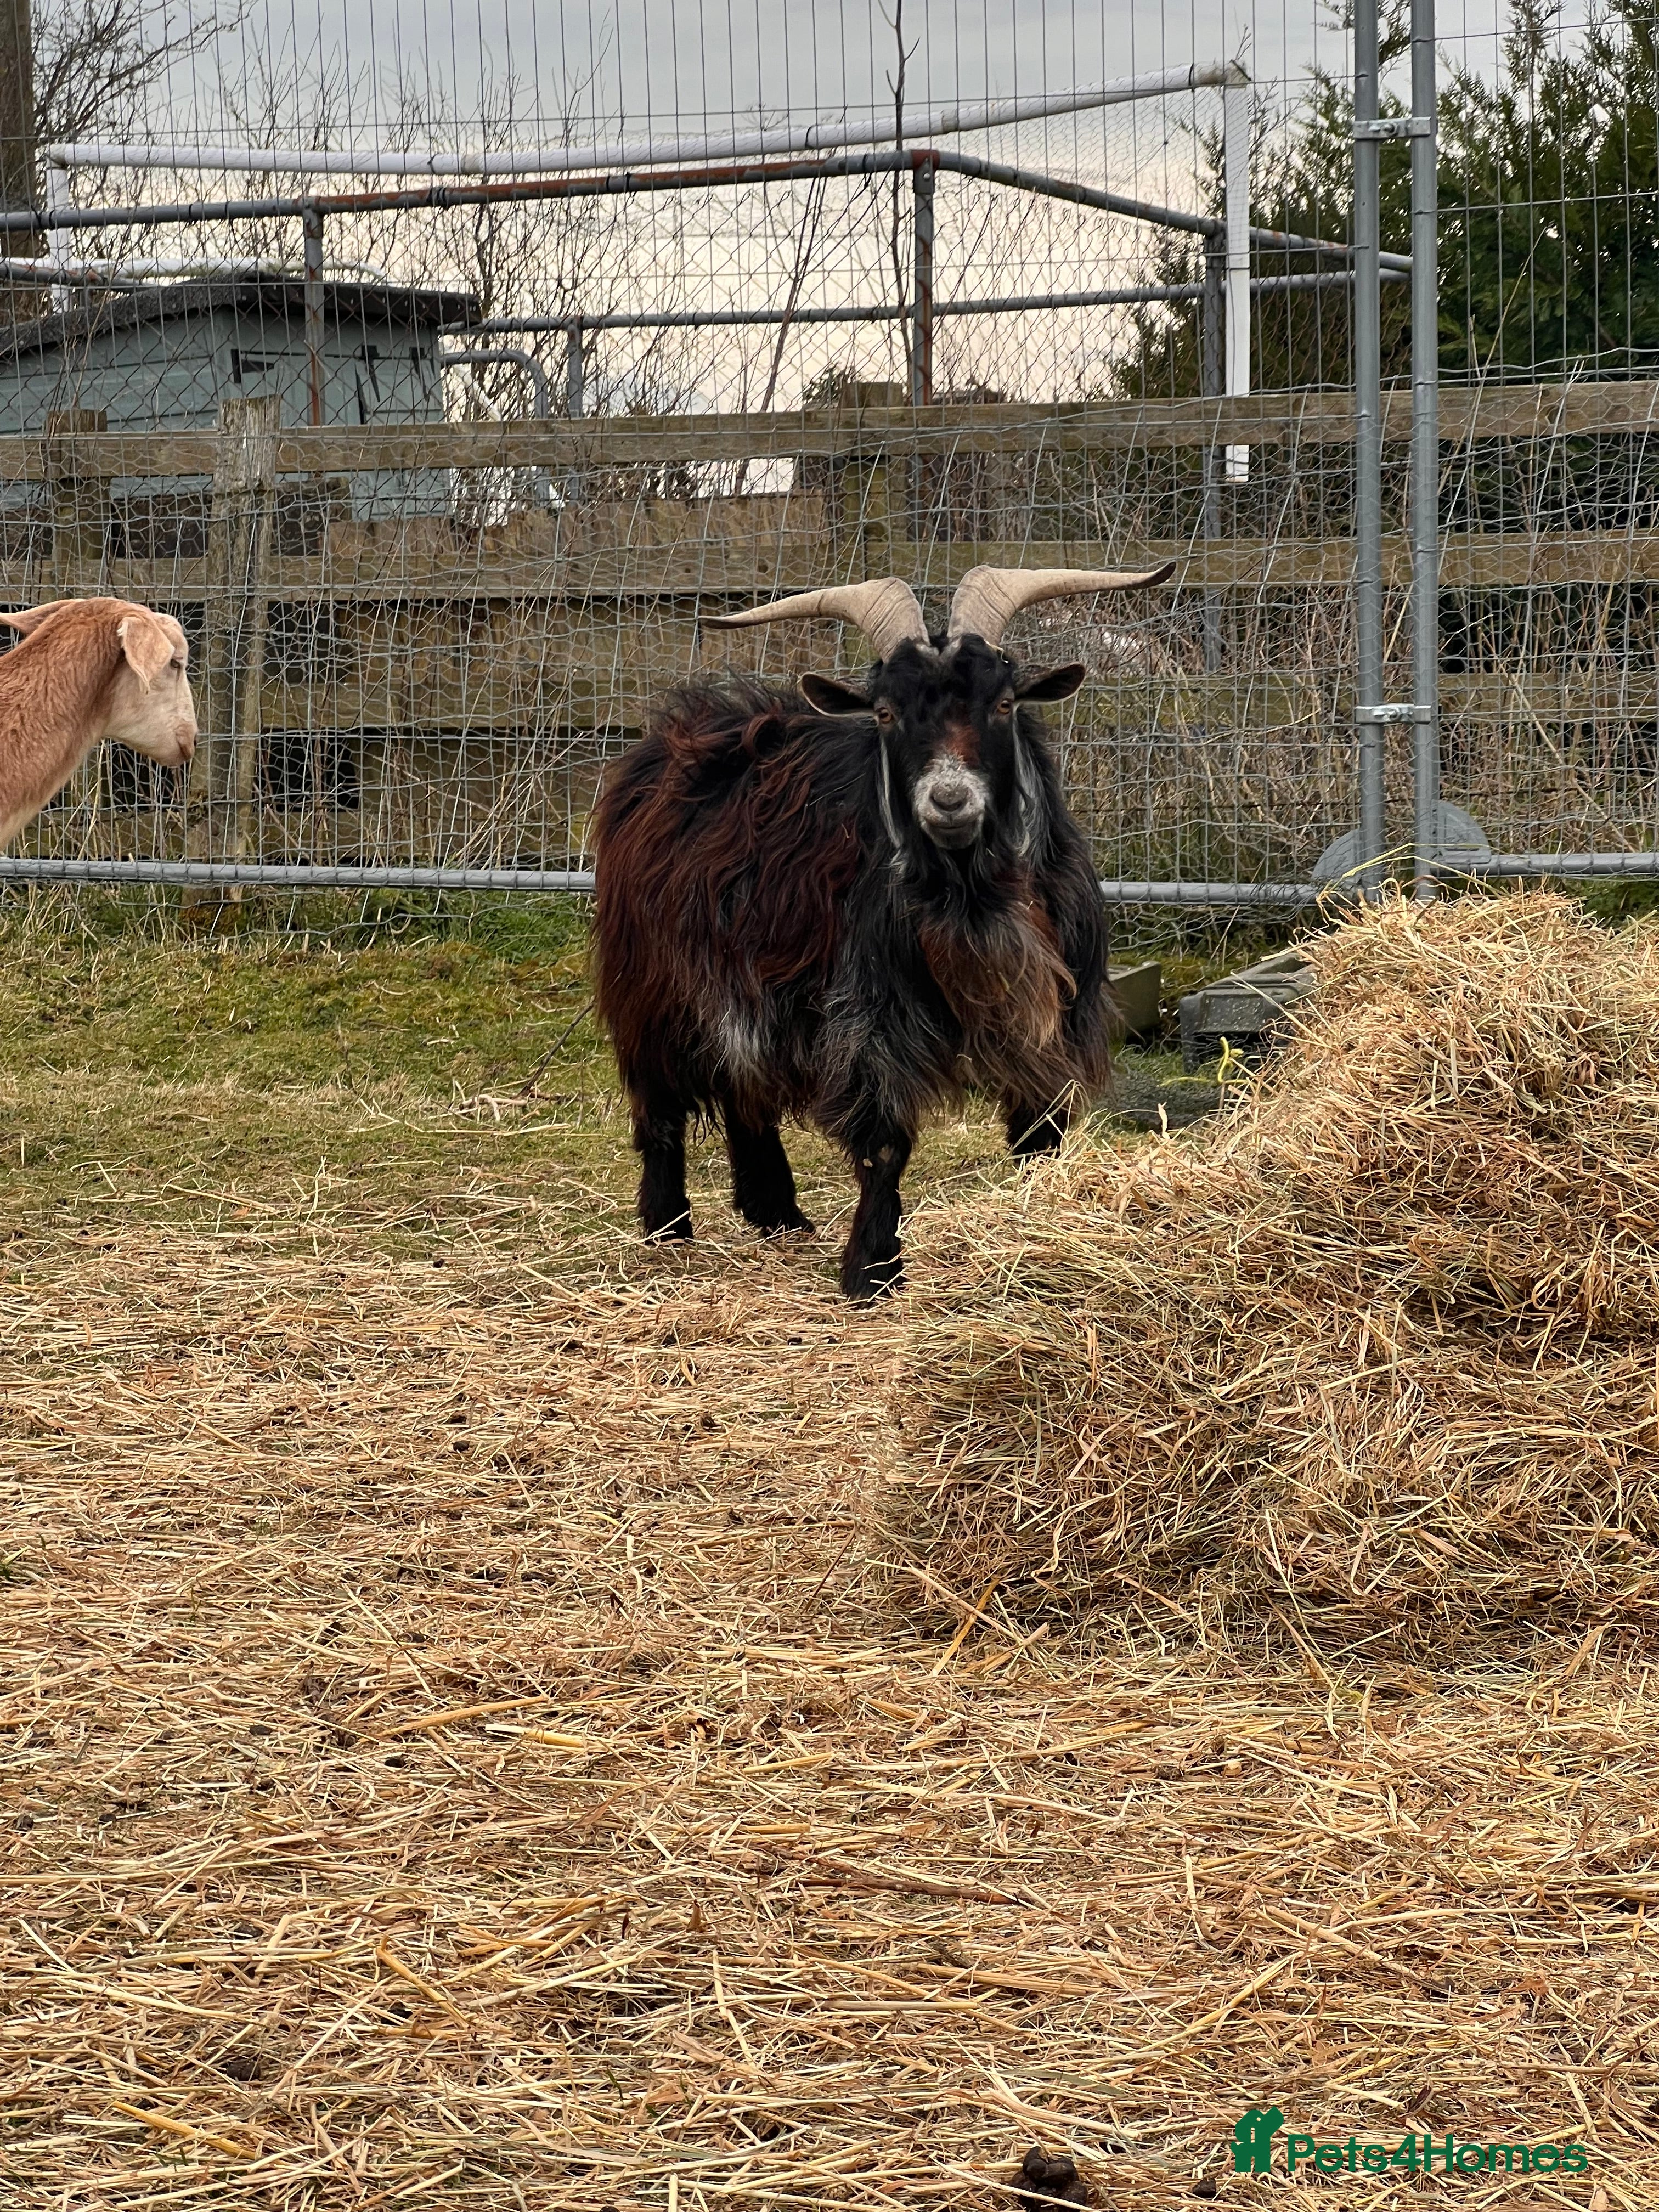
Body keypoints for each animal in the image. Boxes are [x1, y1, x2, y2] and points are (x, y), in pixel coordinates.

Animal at [593, 562, 1172, 1299]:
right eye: (887, 713)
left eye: (1003, 703)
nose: (949, 801)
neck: (969, 895)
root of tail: (669, 739)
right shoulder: (868, 1013)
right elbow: (885, 1141)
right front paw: (872, 1268)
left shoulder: (1053, 1012)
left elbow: (1039, 1129)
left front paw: (1034, 1225)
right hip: (651, 983)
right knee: (661, 1104)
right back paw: (669, 1226)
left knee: (747, 1090)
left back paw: (776, 1213)